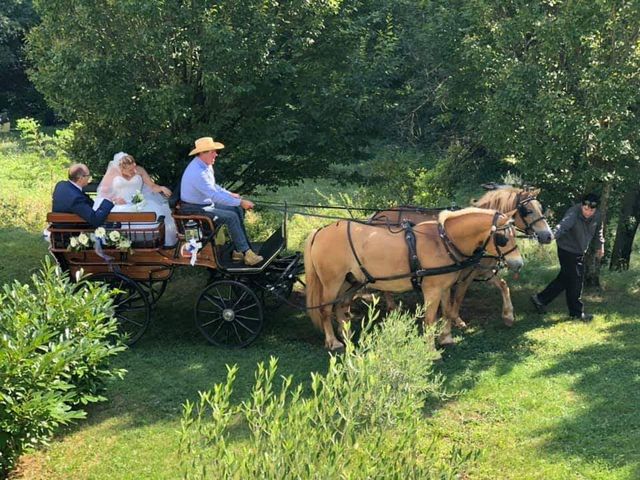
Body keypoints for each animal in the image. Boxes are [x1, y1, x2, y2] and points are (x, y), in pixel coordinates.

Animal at [302, 206, 524, 348]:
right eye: (503, 238)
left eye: (515, 234)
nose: (519, 263)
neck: (443, 241)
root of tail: (319, 232)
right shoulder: (432, 289)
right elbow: (430, 319)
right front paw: (431, 350)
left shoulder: (444, 286)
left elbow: (448, 311)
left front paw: (446, 338)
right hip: (332, 281)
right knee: (325, 309)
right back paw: (333, 342)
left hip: (350, 281)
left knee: (341, 307)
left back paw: (347, 336)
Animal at [372, 186, 552, 328]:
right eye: (528, 211)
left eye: (541, 208)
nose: (548, 236)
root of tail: (377, 215)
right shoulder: (467, 274)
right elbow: (458, 296)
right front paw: (456, 319)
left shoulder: (483, 269)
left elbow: (503, 285)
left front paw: (508, 315)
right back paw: (392, 305)